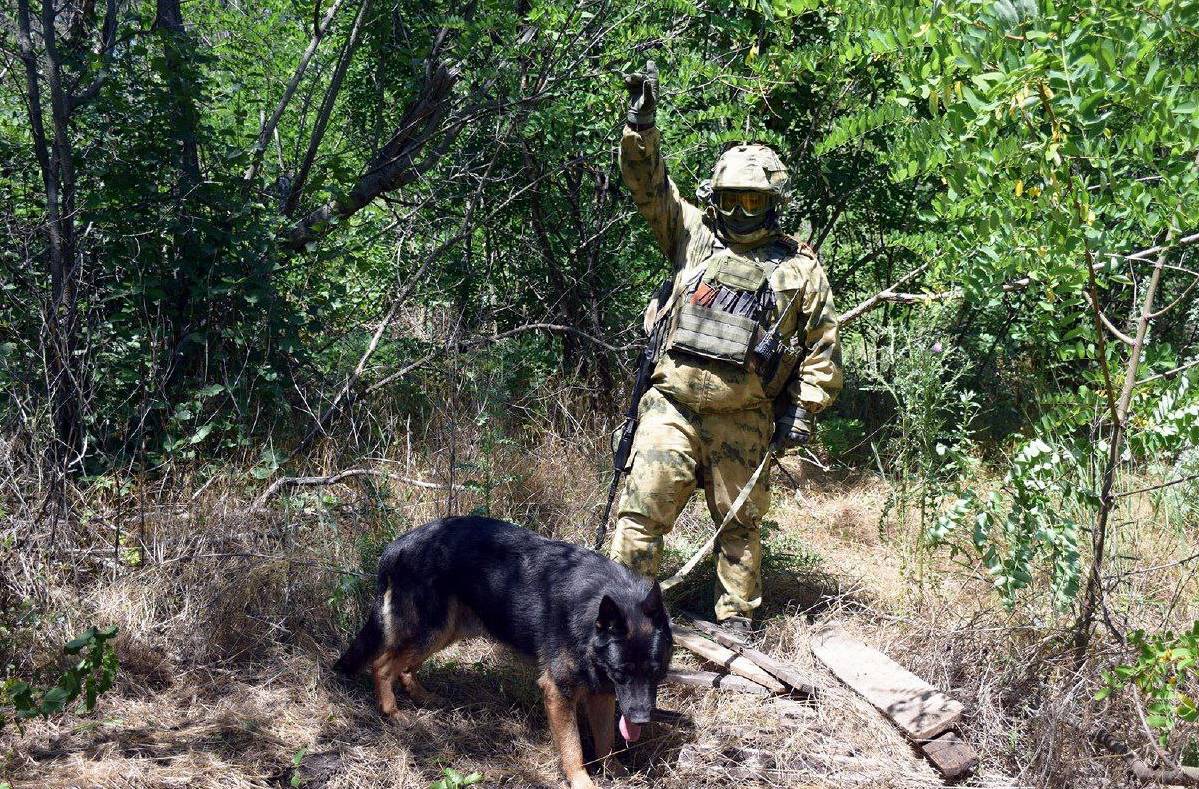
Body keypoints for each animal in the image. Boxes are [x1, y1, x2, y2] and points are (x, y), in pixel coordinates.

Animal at [335, 513, 676, 781]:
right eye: (621, 673)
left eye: (656, 672)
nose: (641, 720)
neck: (592, 610)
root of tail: (398, 544)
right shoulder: (559, 692)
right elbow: (573, 751)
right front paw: (583, 782)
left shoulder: (601, 692)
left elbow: (605, 741)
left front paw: (613, 771)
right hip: (431, 630)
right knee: (382, 664)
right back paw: (392, 712)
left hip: (444, 631)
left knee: (404, 666)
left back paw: (423, 697)